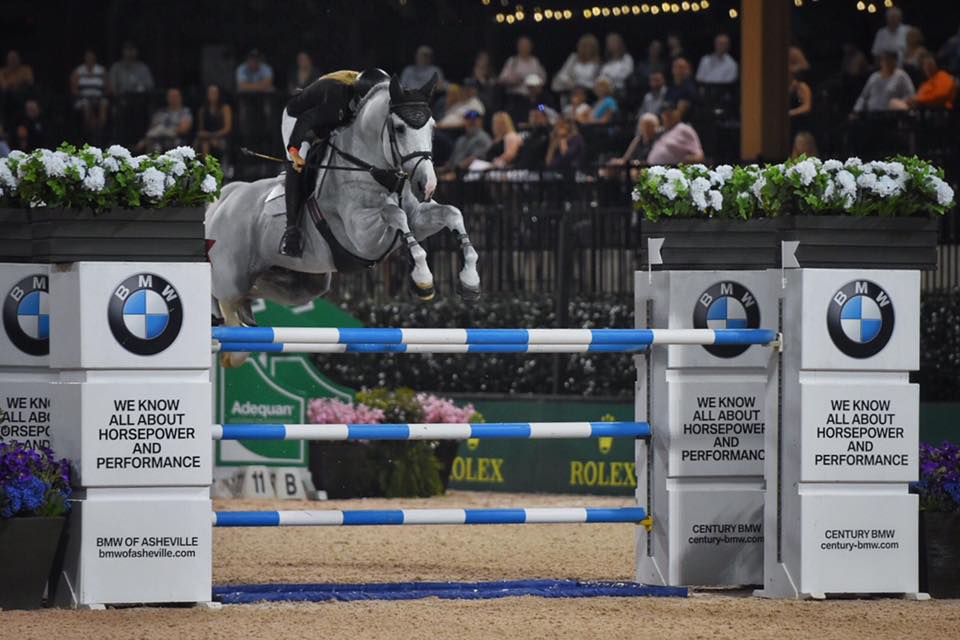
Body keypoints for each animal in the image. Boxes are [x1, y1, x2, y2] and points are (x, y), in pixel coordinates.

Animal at [207, 75, 484, 364]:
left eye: (431, 127)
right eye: (399, 128)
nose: (426, 186)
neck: (373, 169)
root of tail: (224, 198)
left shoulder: (418, 217)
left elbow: (452, 213)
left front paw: (470, 280)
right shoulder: (363, 237)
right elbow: (394, 214)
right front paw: (423, 278)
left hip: (302, 284)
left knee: (251, 296)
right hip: (231, 279)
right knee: (228, 307)